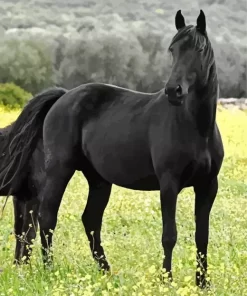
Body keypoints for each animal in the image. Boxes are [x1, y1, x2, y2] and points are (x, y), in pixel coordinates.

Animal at [0, 10, 224, 288]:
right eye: (172, 49)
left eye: (200, 49)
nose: (174, 91)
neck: (196, 129)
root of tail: (63, 96)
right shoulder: (169, 184)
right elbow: (169, 234)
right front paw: (166, 280)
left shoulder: (208, 186)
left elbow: (202, 236)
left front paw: (202, 283)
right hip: (59, 171)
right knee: (47, 217)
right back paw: (50, 271)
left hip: (98, 180)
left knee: (89, 221)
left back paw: (106, 272)